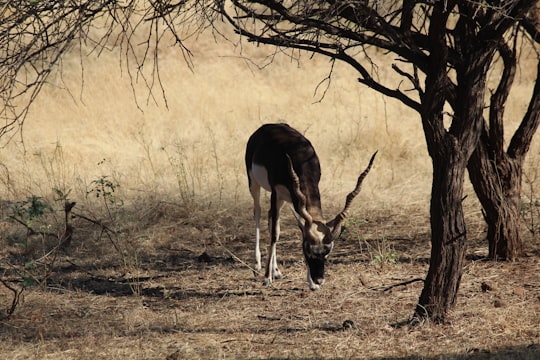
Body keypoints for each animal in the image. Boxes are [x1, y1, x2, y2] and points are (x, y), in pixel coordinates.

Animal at [245, 123, 376, 290]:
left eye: (327, 253)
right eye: (309, 251)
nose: (319, 279)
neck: (299, 159)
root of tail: (267, 126)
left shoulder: (296, 199)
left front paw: (312, 284)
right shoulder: (276, 191)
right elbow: (274, 234)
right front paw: (267, 278)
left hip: (284, 199)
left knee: (270, 217)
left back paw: (276, 271)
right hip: (254, 183)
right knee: (258, 212)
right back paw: (257, 266)